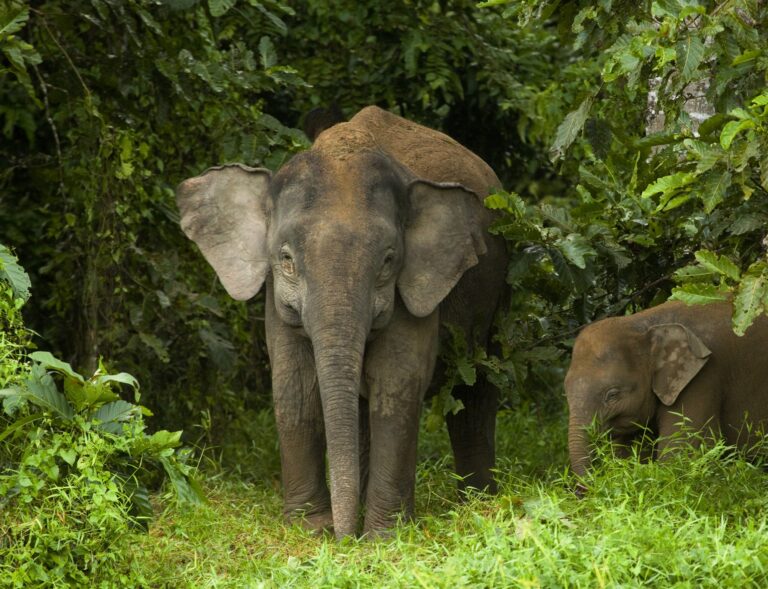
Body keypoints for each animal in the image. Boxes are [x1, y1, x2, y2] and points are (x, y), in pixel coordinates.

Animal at [175, 106, 508, 538]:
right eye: (286, 259)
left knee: (477, 388)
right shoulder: (276, 295)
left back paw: (480, 502)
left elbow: (397, 384)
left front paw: (383, 536)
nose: (343, 537)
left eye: (387, 261)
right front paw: (311, 529)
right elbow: (295, 386)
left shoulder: (416, 287)